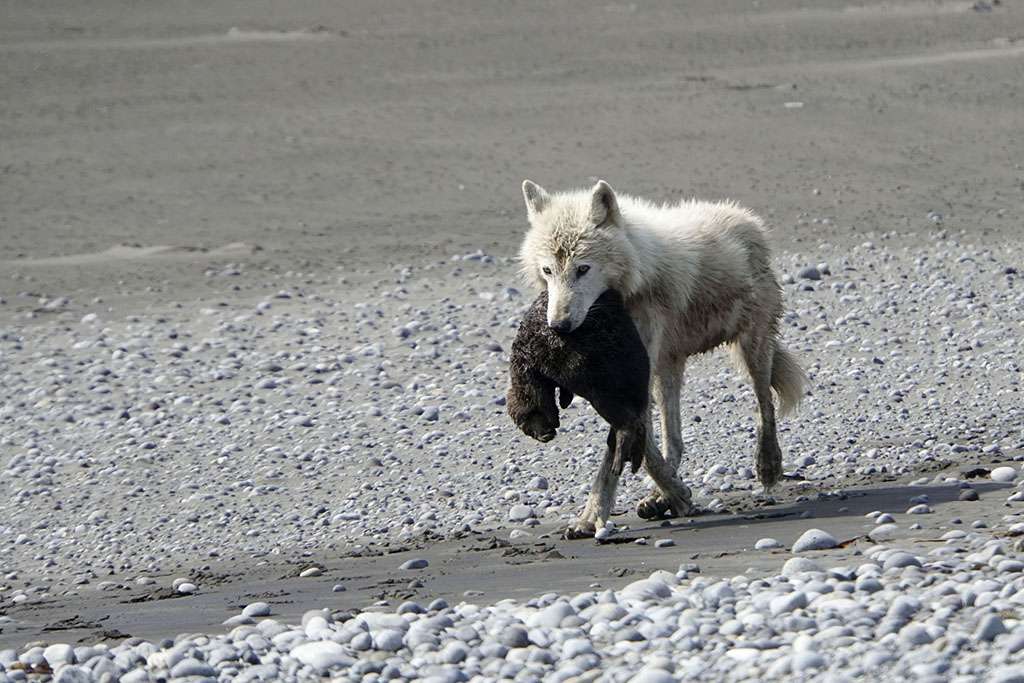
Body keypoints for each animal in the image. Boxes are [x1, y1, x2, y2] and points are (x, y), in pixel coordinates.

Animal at [520, 178, 806, 540]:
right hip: (669, 369)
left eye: (583, 269)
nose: (559, 326)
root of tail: (748, 219)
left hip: (750, 349)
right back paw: (661, 497)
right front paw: (673, 494)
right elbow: (643, 447)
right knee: (676, 440)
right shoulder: (627, 381)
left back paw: (767, 466)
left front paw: (591, 517)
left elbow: (618, 453)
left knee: (763, 405)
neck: (634, 281)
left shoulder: (632, 378)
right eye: (548, 270)